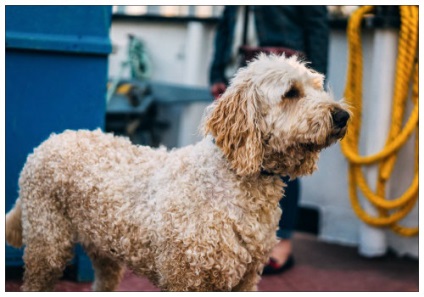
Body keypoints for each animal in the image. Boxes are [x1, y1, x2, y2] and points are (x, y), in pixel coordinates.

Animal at [5, 54, 352, 290]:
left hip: (103, 247)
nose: (343, 116)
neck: (232, 182)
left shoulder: (246, 277)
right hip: (47, 243)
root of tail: (49, 141)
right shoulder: (184, 276)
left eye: (317, 86)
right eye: (291, 92)